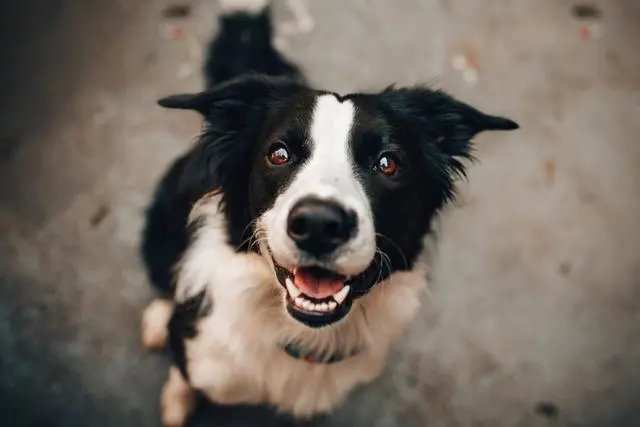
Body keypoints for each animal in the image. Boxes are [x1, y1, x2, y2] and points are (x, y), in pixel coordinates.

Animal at [140, 1, 520, 426]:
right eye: (279, 154)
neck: (304, 335)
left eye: (388, 163)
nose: (319, 225)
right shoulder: (201, 356)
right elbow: (183, 374)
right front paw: (176, 402)